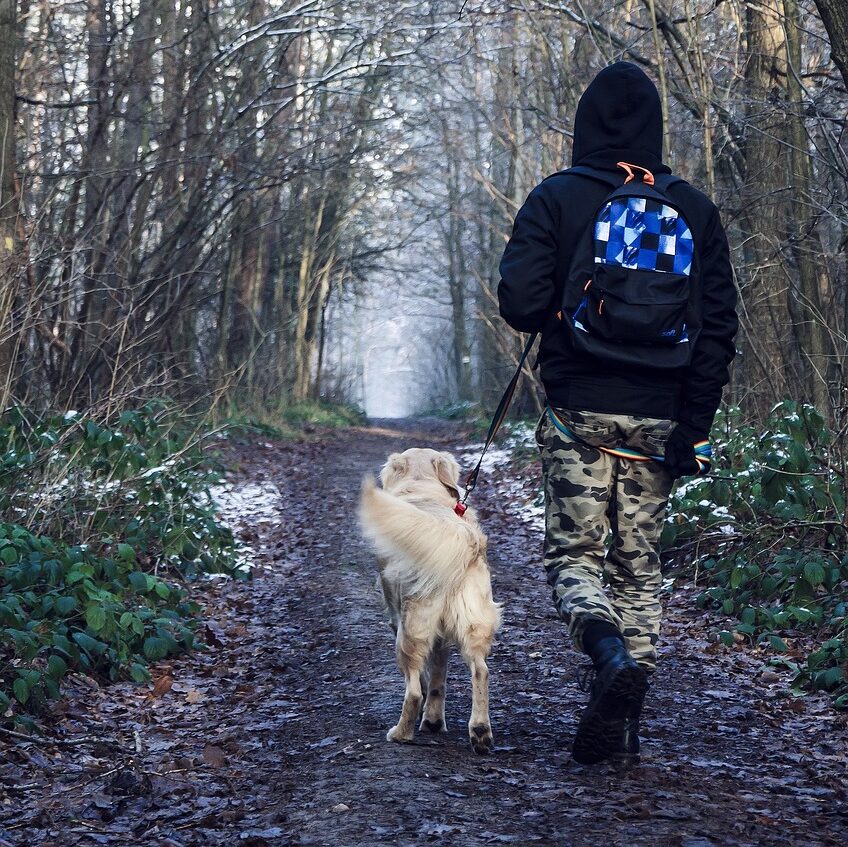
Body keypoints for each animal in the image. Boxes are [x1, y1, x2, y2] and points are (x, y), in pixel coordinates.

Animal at [360, 450, 504, 756]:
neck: (422, 485)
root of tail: (461, 538)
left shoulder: (396, 618)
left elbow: (424, 681)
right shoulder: (441, 638)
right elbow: (438, 676)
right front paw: (435, 720)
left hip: (410, 628)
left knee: (413, 690)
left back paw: (400, 733)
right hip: (473, 623)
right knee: (481, 671)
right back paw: (479, 732)